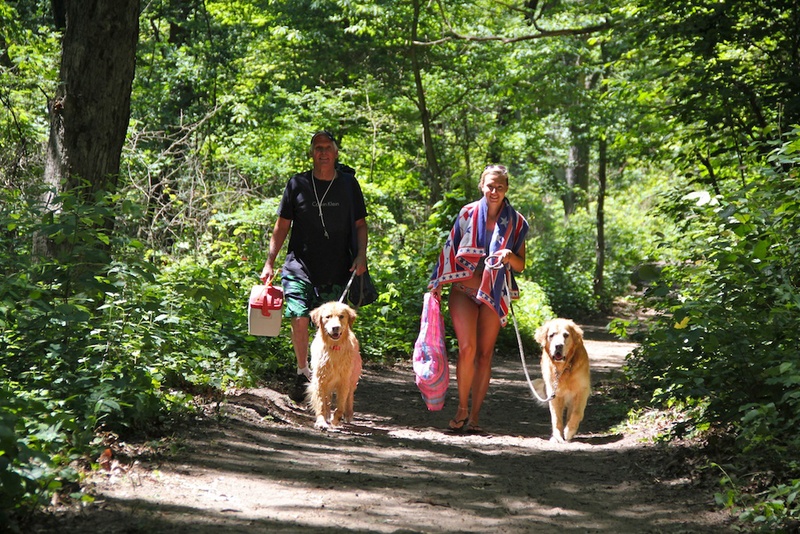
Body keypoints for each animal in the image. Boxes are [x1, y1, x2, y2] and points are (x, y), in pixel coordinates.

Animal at [308, 302, 360, 432]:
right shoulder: (320, 380)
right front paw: (321, 422)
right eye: (328, 317)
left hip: (353, 378)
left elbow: (340, 405)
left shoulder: (344, 381)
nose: (335, 327)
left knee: (350, 396)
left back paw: (348, 414)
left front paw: (336, 419)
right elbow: (321, 403)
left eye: (341, 316)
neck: (334, 347)